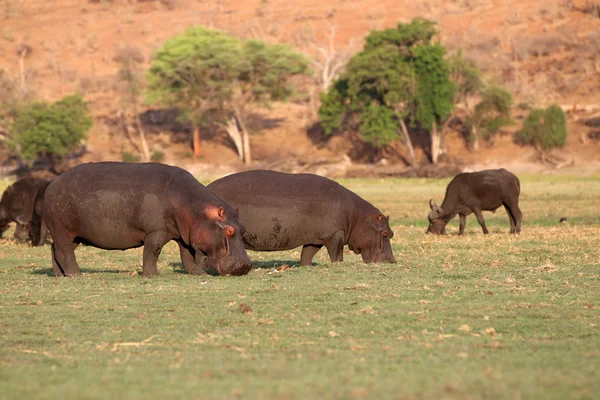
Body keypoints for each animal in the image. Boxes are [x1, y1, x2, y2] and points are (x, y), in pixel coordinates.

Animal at [43, 162, 251, 278]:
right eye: (229, 230)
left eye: (243, 228)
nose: (245, 266)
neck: (192, 206)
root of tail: (52, 183)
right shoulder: (156, 232)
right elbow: (152, 253)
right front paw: (153, 276)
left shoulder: (185, 234)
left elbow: (187, 256)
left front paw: (199, 273)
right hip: (62, 230)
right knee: (65, 252)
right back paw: (77, 274)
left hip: (74, 234)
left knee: (55, 250)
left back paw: (60, 276)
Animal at [209, 170, 396, 266]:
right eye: (385, 233)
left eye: (392, 233)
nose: (392, 261)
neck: (358, 218)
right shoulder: (335, 235)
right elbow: (337, 254)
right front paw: (337, 265)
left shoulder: (315, 239)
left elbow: (307, 254)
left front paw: (306, 266)